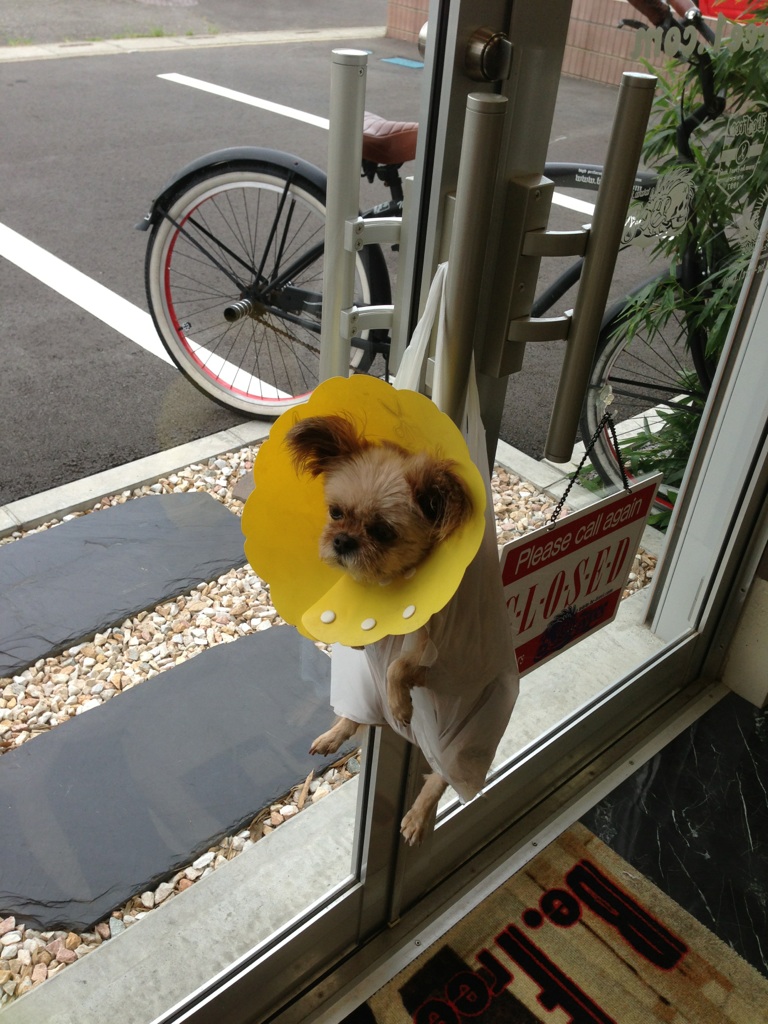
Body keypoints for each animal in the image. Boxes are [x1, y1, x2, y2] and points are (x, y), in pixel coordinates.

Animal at [286, 413, 476, 844]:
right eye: (335, 512)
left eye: (383, 532)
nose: (342, 541)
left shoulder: (428, 655)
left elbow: (398, 667)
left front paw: (400, 704)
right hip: (362, 687)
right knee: (357, 715)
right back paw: (334, 735)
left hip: (457, 738)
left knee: (442, 777)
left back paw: (418, 816)